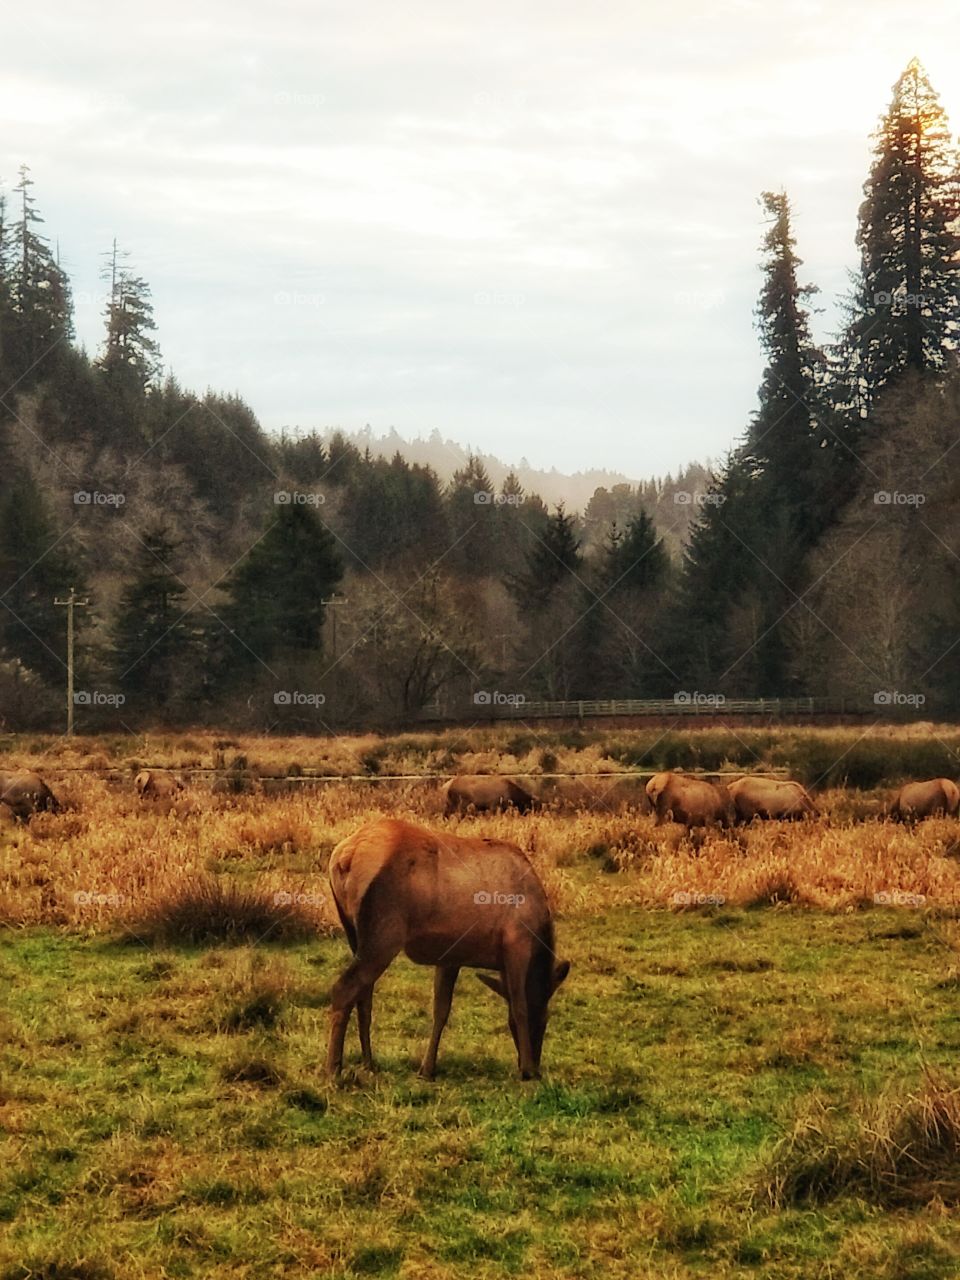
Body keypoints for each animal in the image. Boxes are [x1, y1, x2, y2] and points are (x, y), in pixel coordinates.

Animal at [326, 818, 569, 1080]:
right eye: (545, 1016)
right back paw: (333, 1069)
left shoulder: (451, 957)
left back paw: (368, 1062)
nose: (537, 1065)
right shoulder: (517, 944)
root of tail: (346, 856)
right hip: (384, 935)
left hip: (354, 933)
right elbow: (519, 1007)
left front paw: (427, 1069)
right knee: (344, 988)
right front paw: (526, 1070)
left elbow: (441, 1010)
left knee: (364, 997)